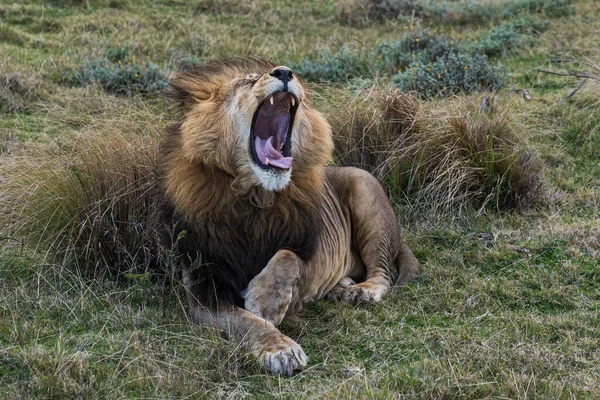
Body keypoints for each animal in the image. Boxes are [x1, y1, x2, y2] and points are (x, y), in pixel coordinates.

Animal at [162, 57, 420, 376]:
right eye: (246, 81)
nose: (285, 72)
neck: (255, 200)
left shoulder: (312, 253)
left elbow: (287, 258)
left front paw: (265, 301)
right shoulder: (205, 289)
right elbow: (246, 323)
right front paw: (281, 349)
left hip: (365, 191)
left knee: (382, 272)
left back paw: (362, 291)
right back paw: (341, 287)